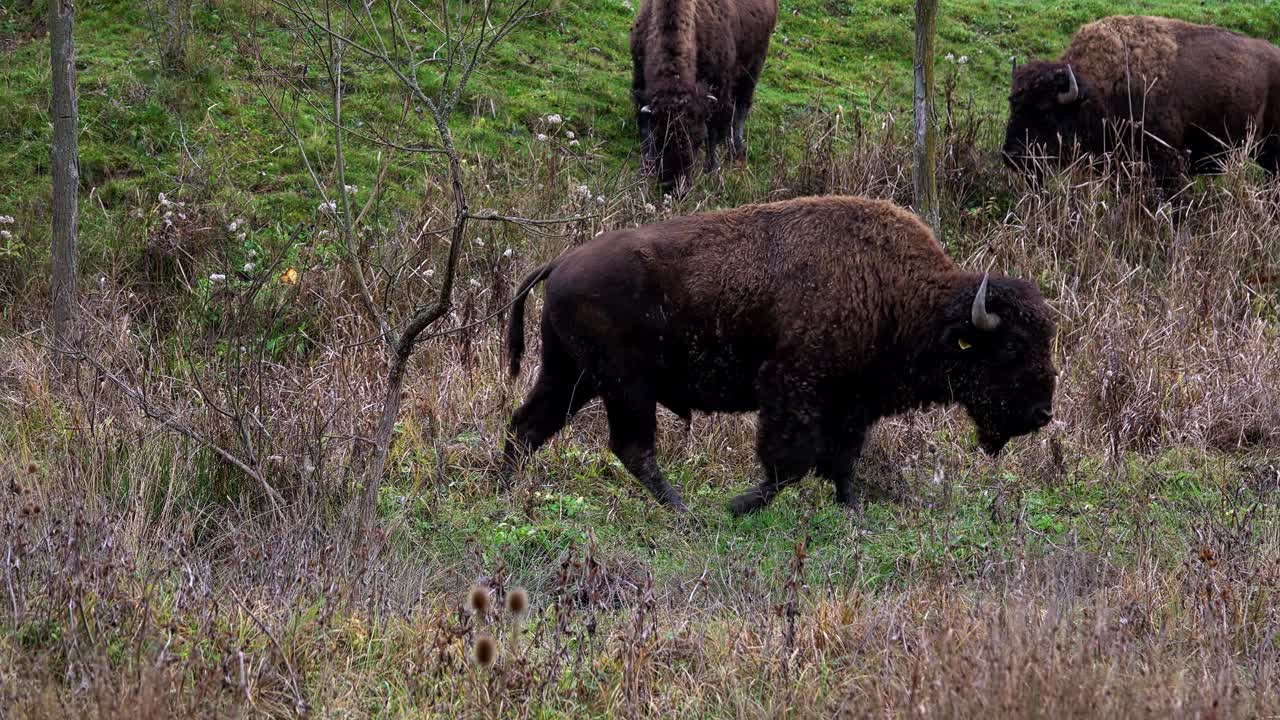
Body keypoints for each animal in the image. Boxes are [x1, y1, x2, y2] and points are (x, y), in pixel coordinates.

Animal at [499, 193, 1059, 512]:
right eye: (1012, 344)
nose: (1041, 413)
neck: (898, 293)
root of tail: (561, 261)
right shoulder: (794, 391)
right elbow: (789, 462)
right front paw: (737, 505)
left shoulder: (851, 403)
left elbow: (843, 462)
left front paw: (852, 512)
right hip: (624, 386)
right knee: (632, 447)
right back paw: (684, 511)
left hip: (571, 376)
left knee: (527, 426)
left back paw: (504, 492)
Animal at [627, 0, 773, 193]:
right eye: (660, 141)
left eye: (697, 140)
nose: (674, 187)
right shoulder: (640, 85)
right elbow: (644, 131)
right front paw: (645, 168)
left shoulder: (719, 90)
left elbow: (713, 132)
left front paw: (712, 168)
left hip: (754, 65)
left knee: (742, 106)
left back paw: (737, 150)